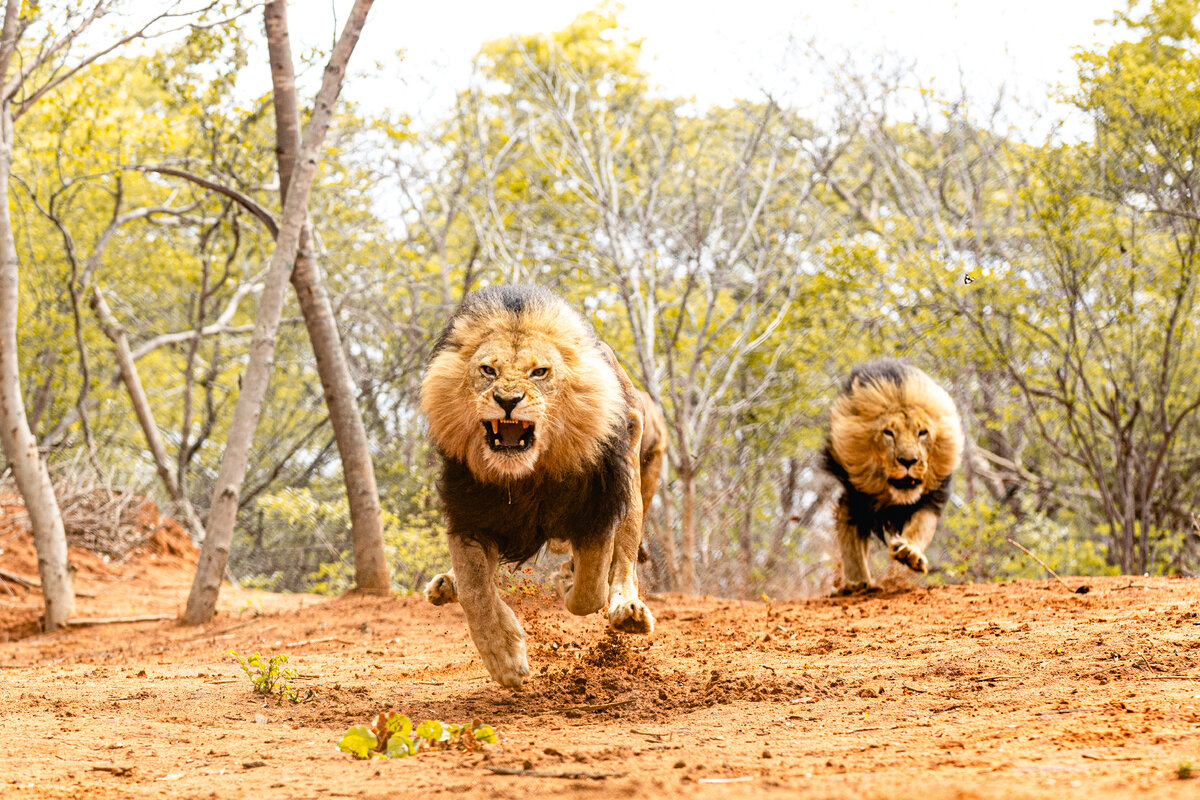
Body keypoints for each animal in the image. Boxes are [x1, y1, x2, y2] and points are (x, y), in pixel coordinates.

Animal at [417, 286, 652, 690]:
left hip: (632, 484)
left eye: (539, 372)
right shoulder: (469, 511)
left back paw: (628, 611)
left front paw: (569, 581)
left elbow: (590, 591)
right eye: (488, 370)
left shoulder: (597, 508)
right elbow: (477, 591)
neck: (526, 475)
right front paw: (504, 656)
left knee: (624, 564)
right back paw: (447, 585)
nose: (508, 401)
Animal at [825, 359, 964, 592]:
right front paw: (857, 583)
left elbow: (920, 527)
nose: (908, 461)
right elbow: (851, 546)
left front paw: (909, 553)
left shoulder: (932, 497)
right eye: (888, 433)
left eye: (922, 433)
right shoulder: (854, 499)